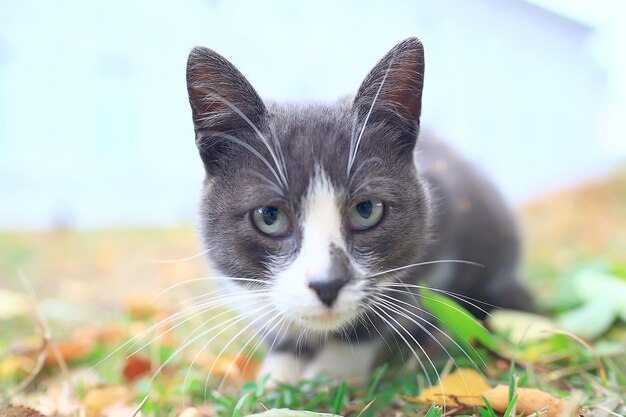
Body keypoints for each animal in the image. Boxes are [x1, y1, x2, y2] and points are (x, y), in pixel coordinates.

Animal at [185, 38, 532, 384]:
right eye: (269, 216)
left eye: (366, 210)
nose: (327, 284)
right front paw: (278, 372)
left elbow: (391, 306)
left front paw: (331, 372)